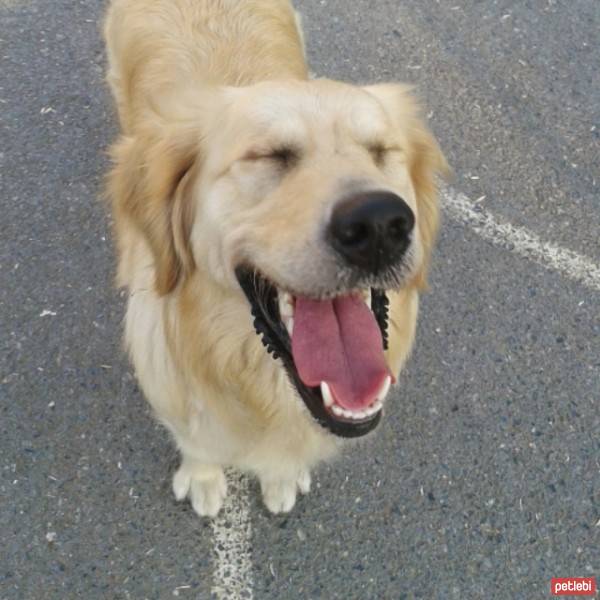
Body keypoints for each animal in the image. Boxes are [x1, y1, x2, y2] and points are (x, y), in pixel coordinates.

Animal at [105, 0, 448, 516]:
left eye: (381, 152)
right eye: (270, 156)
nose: (378, 226)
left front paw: (281, 474)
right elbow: (197, 440)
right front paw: (203, 476)